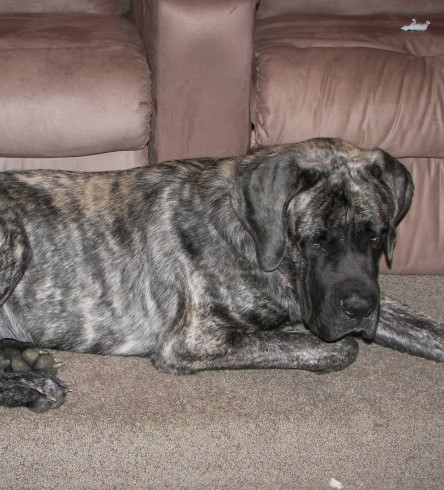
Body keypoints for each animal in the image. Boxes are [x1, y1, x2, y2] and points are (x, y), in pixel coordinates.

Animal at [0, 140, 442, 412]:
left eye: (376, 235)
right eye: (315, 241)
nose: (359, 309)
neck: (254, 240)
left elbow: (428, 328)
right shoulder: (194, 340)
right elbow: (339, 348)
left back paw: (23, 359)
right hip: (15, 238)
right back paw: (33, 385)